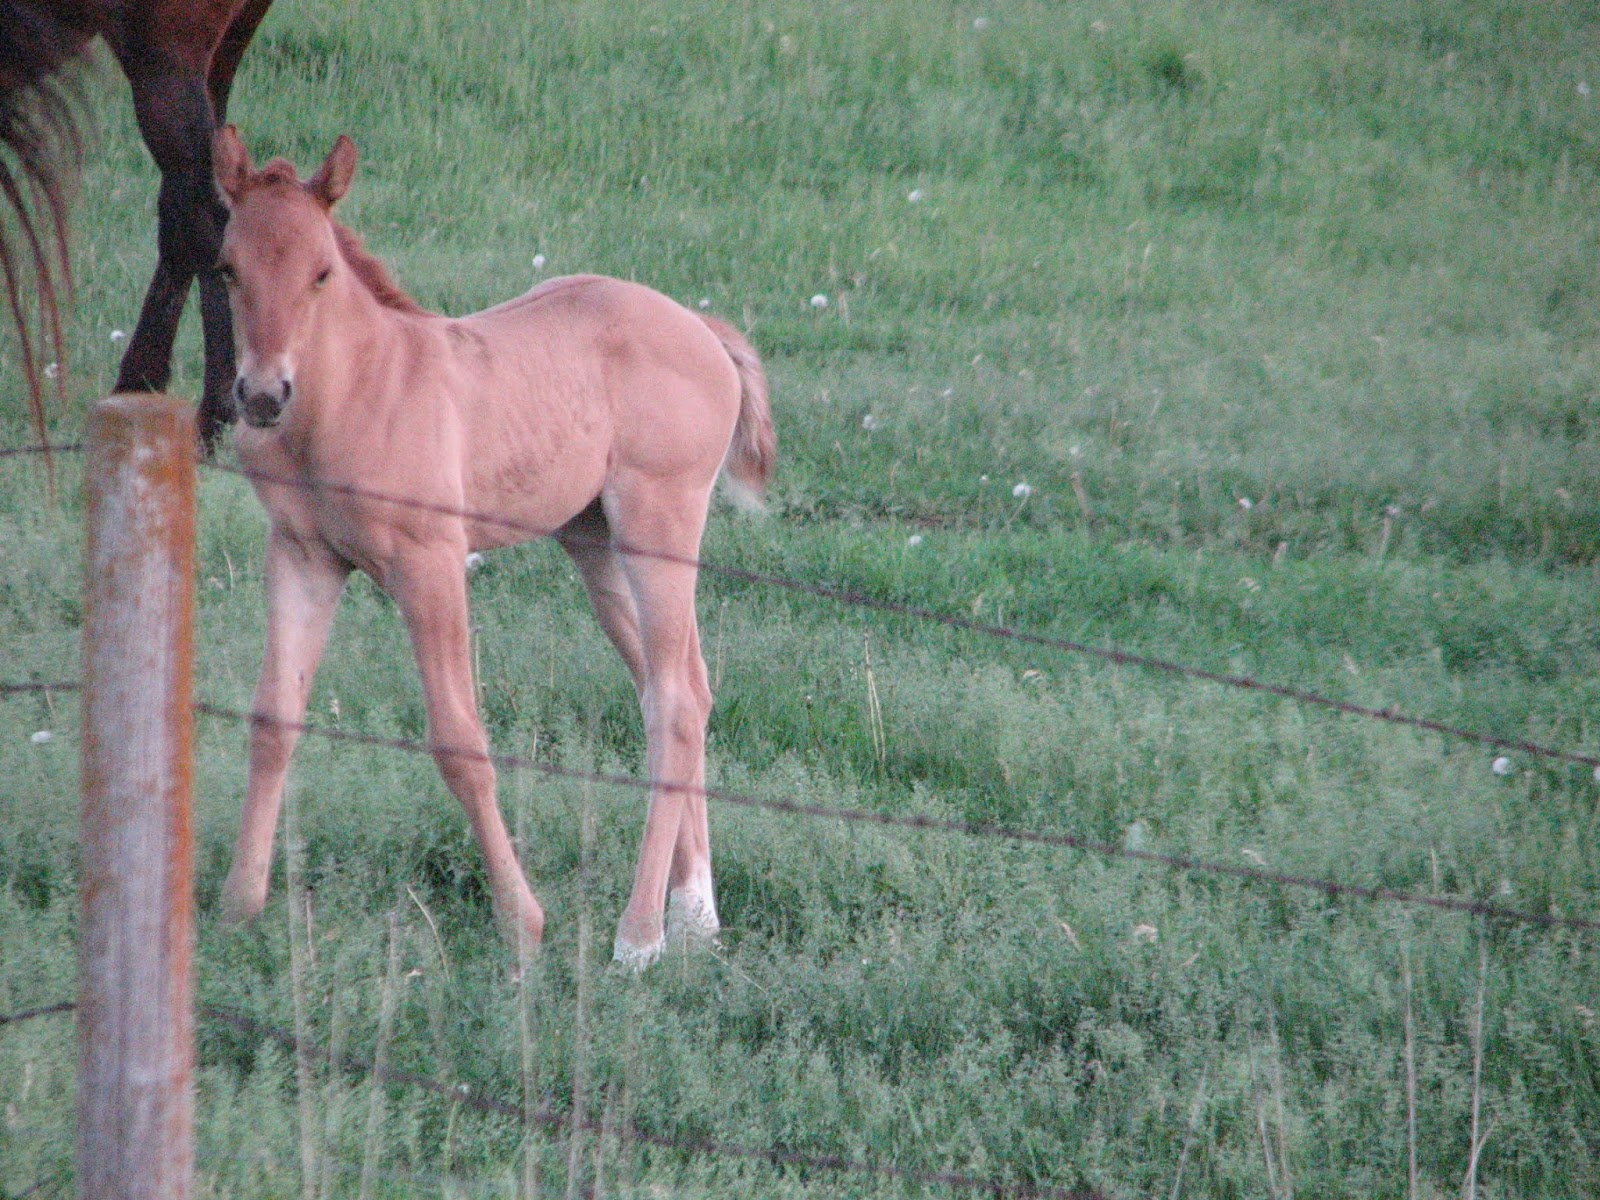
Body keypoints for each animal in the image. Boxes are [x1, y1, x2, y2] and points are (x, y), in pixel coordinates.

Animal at [211, 125, 777, 967]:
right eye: (227, 268)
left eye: (320, 272)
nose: (260, 395)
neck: (353, 396)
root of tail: (704, 330)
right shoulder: (303, 555)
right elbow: (274, 719)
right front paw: (238, 907)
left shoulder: (431, 562)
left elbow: (459, 741)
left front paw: (522, 920)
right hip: (595, 544)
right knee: (681, 689)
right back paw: (696, 914)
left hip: (659, 525)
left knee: (675, 704)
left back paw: (638, 937)